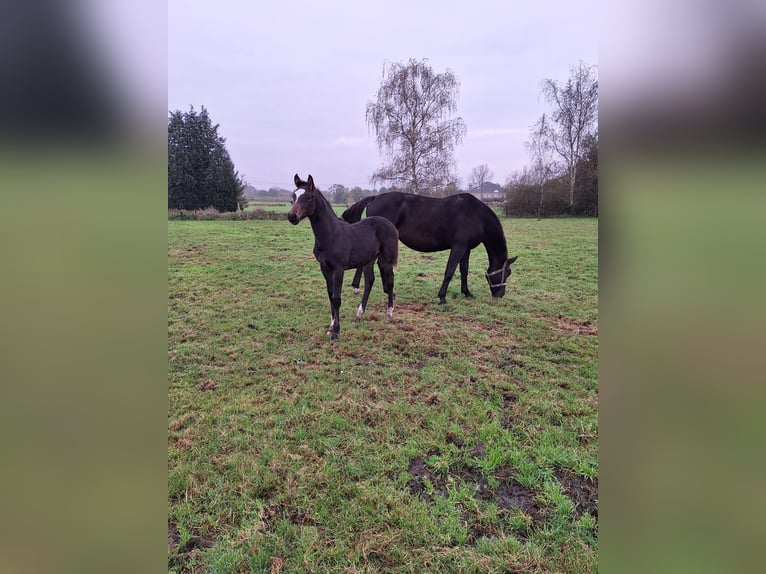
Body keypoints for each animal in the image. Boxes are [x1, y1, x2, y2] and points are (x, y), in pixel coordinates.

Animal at [284, 173, 400, 340]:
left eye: (309, 197)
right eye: (293, 196)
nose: (292, 216)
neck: (331, 235)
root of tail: (390, 225)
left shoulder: (338, 269)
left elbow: (337, 299)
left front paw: (336, 332)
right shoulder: (325, 268)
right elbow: (331, 296)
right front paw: (330, 327)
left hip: (386, 260)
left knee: (390, 281)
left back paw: (389, 313)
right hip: (368, 260)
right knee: (369, 281)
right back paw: (358, 316)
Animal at [344, 194, 520, 306]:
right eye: (507, 273)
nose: (500, 294)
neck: (476, 215)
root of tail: (374, 198)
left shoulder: (466, 248)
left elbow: (464, 270)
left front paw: (467, 293)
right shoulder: (458, 247)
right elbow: (449, 271)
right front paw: (442, 298)